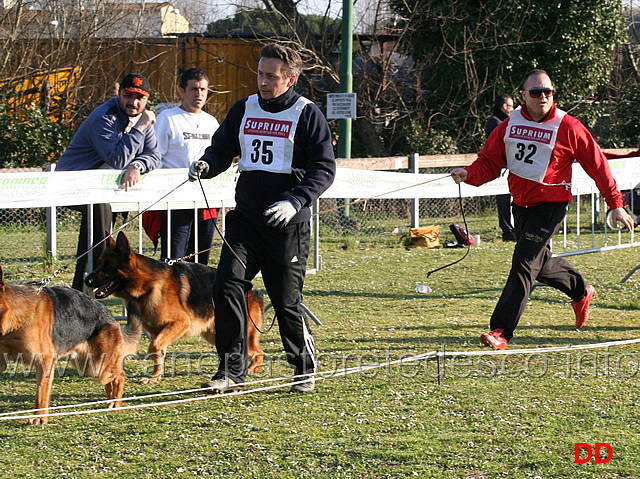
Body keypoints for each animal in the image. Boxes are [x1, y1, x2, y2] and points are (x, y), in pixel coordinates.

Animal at [0, 264, 141, 426]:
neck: (17, 318)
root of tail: (110, 316)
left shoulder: (44, 361)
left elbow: (41, 393)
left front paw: (39, 417)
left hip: (97, 366)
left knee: (120, 376)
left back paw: (116, 402)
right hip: (89, 366)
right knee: (111, 379)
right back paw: (109, 400)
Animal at [85, 231, 264, 384]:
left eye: (107, 267)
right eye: (98, 264)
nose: (87, 280)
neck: (148, 285)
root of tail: (251, 291)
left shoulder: (180, 323)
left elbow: (154, 346)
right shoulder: (157, 332)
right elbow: (157, 352)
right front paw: (155, 376)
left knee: (258, 352)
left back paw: (250, 370)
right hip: (215, 335)